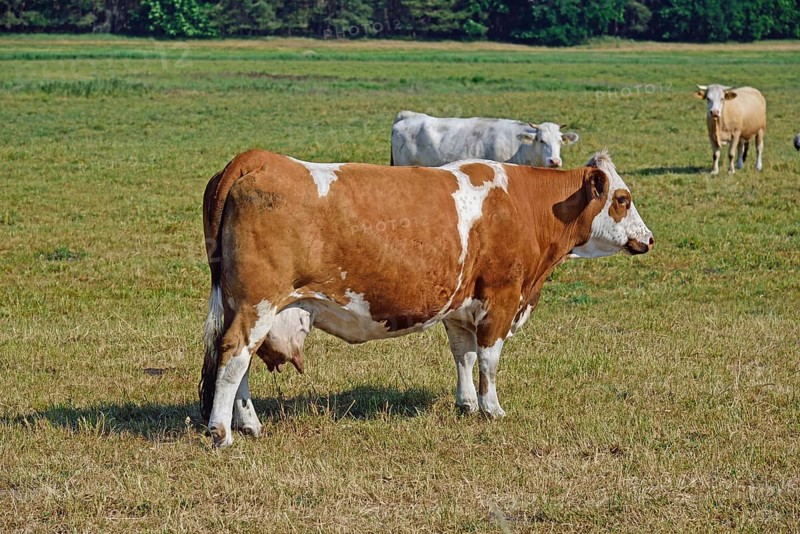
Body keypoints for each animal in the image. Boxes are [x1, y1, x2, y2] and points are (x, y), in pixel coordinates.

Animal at [199, 149, 654, 447]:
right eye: (623, 199)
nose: (648, 238)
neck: (524, 203)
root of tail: (260, 158)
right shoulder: (501, 298)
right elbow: (488, 360)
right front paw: (492, 409)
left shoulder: (461, 307)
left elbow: (463, 356)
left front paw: (466, 404)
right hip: (257, 303)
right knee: (234, 354)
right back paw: (222, 432)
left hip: (244, 305)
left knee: (237, 360)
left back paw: (249, 424)